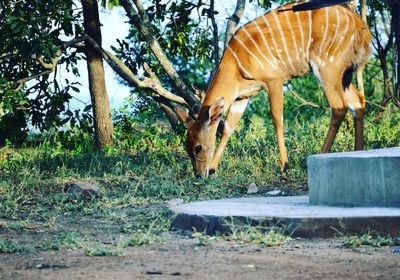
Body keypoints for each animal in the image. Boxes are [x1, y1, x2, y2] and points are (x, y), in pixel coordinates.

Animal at [177, 1, 372, 177]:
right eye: (186, 147)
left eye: (198, 147)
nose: (199, 174)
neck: (234, 64)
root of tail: (362, 29)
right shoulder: (242, 96)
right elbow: (228, 128)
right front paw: (213, 168)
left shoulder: (274, 80)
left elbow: (277, 119)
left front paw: (284, 165)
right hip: (341, 74)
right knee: (358, 101)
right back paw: (358, 151)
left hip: (328, 68)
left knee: (339, 107)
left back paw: (319, 155)